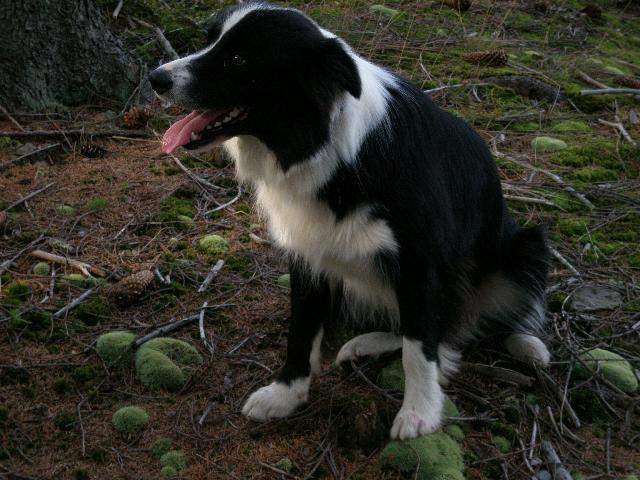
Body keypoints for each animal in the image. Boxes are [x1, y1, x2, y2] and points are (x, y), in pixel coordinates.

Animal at [150, 1, 552, 440]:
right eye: (209, 41)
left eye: (239, 59)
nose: (156, 78)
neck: (326, 146)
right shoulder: (307, 249)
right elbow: (301, 328)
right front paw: (286, 394)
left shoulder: (419, 261)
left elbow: (419, 348)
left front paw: (420, 412)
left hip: (526, 248)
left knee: (467, 322)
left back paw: (527, 344)